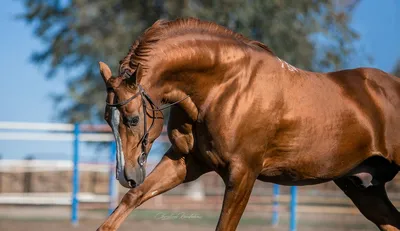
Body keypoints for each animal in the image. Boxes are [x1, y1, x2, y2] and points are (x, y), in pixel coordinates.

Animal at [97, 17, 400, 230]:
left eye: (133, 119)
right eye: (107, 120)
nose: (126, 175)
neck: (222, 87)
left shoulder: (243, 174)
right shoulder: (187, 162)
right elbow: (132, 199)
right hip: (364, 188)